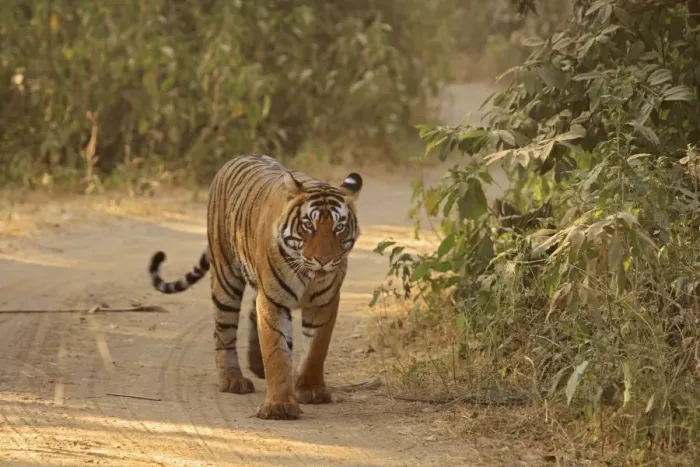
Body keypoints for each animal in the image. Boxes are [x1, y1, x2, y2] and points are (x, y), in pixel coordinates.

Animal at [147, 154, 362, 420]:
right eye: (308, 226)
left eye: (338, 227)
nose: (323, 260)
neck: (308, 274)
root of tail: (237, 158)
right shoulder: (274, 300)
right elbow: (276, 351)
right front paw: (279, 406)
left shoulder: (324, 302)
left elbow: (316, 348)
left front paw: (311, 390)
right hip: (226, 278)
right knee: (223, 331)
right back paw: (232, 379)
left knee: (251, 311)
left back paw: (256, 365)